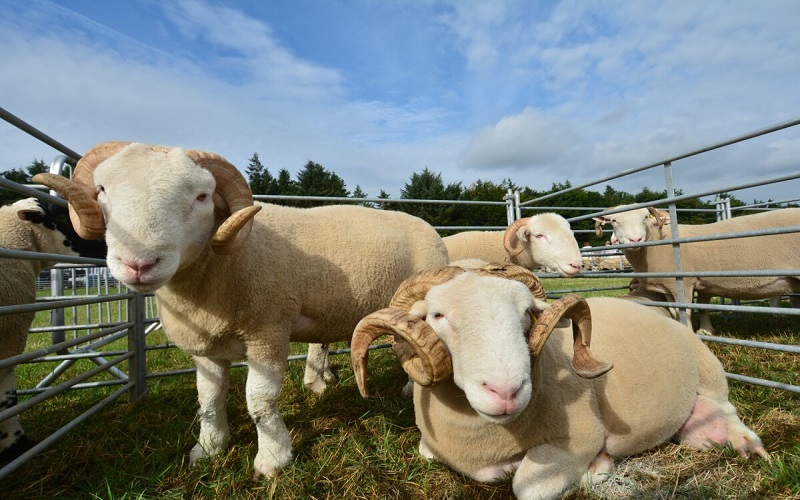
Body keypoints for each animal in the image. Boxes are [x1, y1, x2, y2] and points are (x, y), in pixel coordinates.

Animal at [33, 141, 450, 478]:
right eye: (102, 190)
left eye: (202, 196)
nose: (138, 263)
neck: (218, 267)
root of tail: (427, 226)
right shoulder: (205, 346)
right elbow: (207, 398)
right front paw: (208, 448)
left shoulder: (267, 331)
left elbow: (260, 402)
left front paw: (273, 459)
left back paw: (409, 389)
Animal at [350, 261, 767, 499]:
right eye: (436, 315)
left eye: (526, 313)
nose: (506, 392)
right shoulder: (433, 446)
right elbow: (431, 454)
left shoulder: (580, 437)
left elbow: (527, 487)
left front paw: (595, 471)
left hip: (710, 371)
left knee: (728, 410)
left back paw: (747, 445)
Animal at [593, 205, 800, 333]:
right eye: (614, 220)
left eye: (645, 217)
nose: (635, 239)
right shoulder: (673, 286)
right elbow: (685, 311)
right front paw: (702, 331)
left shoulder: (683, 283)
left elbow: (688, 311)